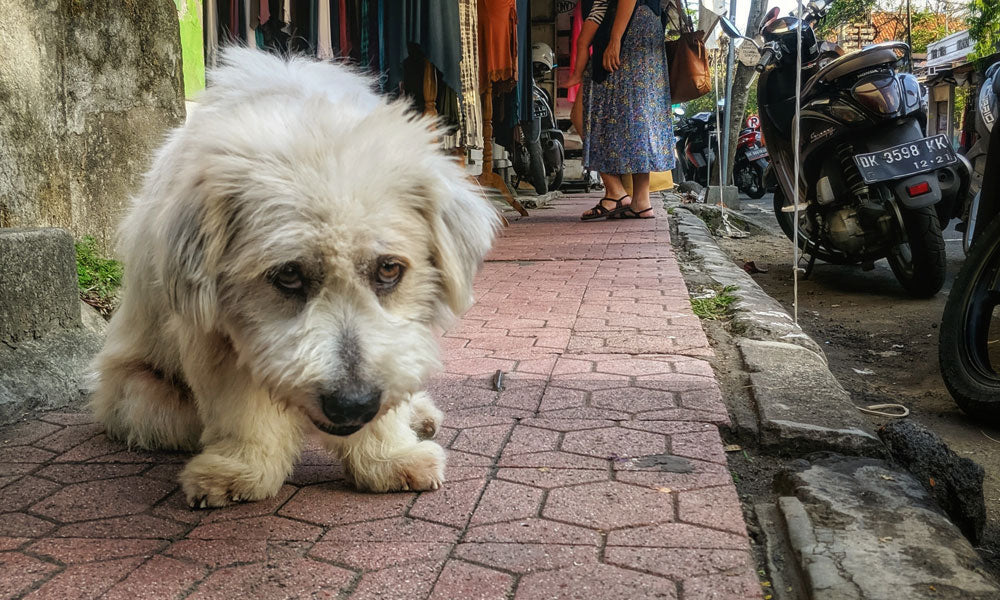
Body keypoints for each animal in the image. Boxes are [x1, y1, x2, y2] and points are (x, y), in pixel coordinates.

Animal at [90, 49, 500, 506]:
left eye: (388, 269)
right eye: (288, 274)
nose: (352, 405)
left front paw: (388, 456)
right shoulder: (217, 338)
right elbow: (242, 406)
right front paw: (243, 468)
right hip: (146, 398)